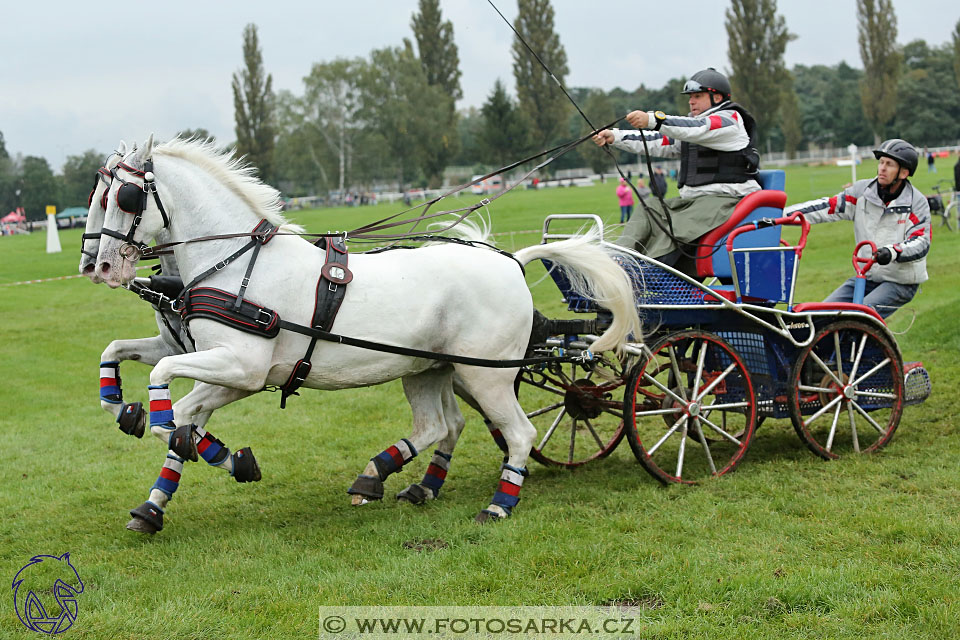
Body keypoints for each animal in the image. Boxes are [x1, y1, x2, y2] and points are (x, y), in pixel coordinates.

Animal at [95, 136, 644, 528]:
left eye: (126, 196)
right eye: (97, 199)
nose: (99, 266)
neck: (237, 264)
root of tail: (512, 259)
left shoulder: (242, 368)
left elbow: (171, 393)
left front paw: (161, 425)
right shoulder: (230, 371)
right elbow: (172, 398)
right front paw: (156, 492)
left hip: (486, 375)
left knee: (518, 432)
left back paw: (498, 504)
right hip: (428, 369)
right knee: (439, 426)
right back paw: (386, 479)